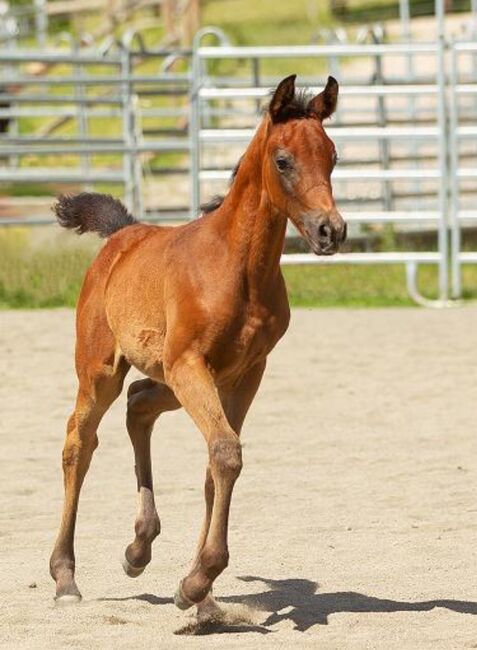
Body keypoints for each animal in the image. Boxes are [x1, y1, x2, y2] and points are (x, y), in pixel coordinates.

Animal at [49, 74, 346, 608]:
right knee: (79, 442)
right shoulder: (190, 364)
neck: (237, 267)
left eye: (332, 156)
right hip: (104, 370)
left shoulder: (247, 372)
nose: (330, 230)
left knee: (139, 403)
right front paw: (200, 577)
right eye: (283, 160)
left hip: (172, 376)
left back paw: (139, 547)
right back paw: (65, 578)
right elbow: (226, 452)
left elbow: (218, 461)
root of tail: (123, 235)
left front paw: (194, 584)